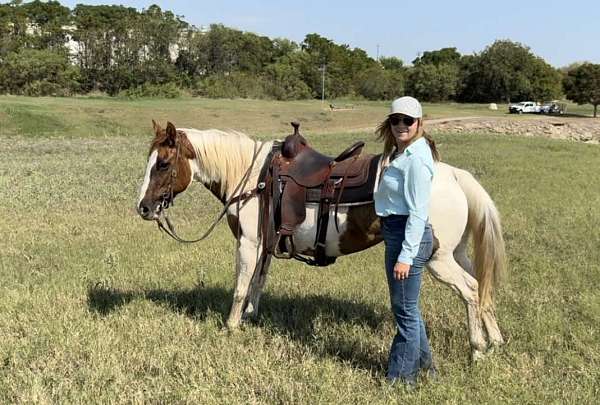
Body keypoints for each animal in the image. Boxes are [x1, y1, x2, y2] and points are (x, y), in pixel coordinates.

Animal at [137, 120, 506, 360]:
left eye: (164, 164)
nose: (143, 207)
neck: (254, 177)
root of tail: (454, 176)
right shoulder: (265, 245)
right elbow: (258, 282)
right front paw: (251, 317)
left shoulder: (248, 243)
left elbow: (241, 286)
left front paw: (231, 327)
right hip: (456, 253)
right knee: (482, 287)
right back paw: (496, 341)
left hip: (438, 260)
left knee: (471, 290)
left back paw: (477, 349)